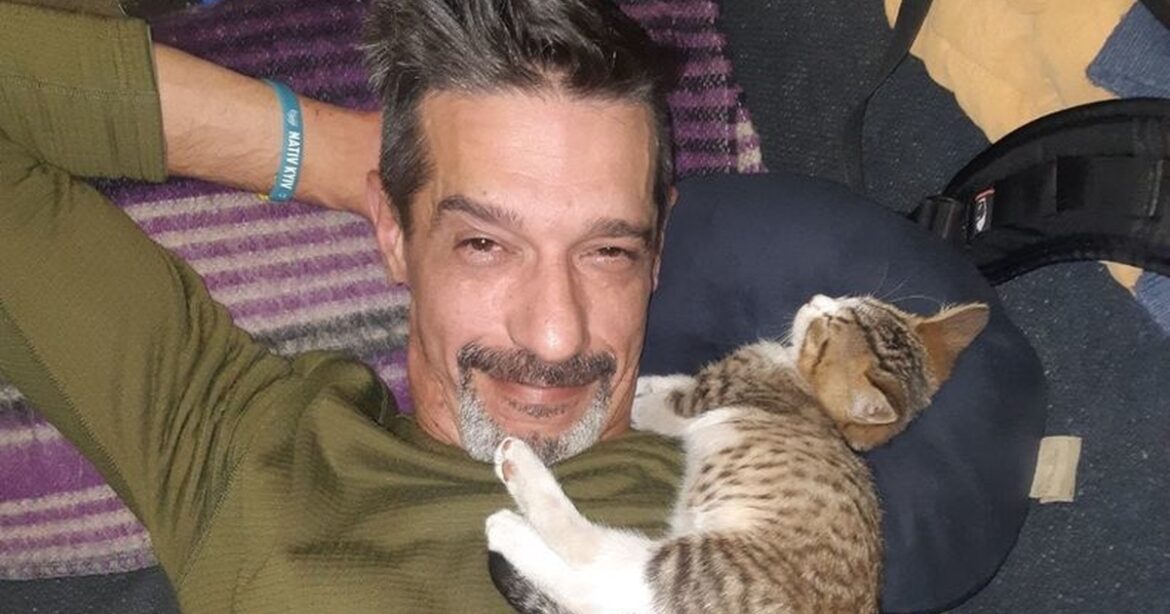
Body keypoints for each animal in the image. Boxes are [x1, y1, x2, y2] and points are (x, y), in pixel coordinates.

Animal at [485, 294, 989, 614]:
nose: (817, 300)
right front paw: (649, 383)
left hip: (704, 567)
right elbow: (672, 386)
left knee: (598, 567)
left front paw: (639, 397)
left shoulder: (714, 394)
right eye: (852, 300)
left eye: (827, 328)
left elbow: (670, 401)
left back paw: (514, 507)